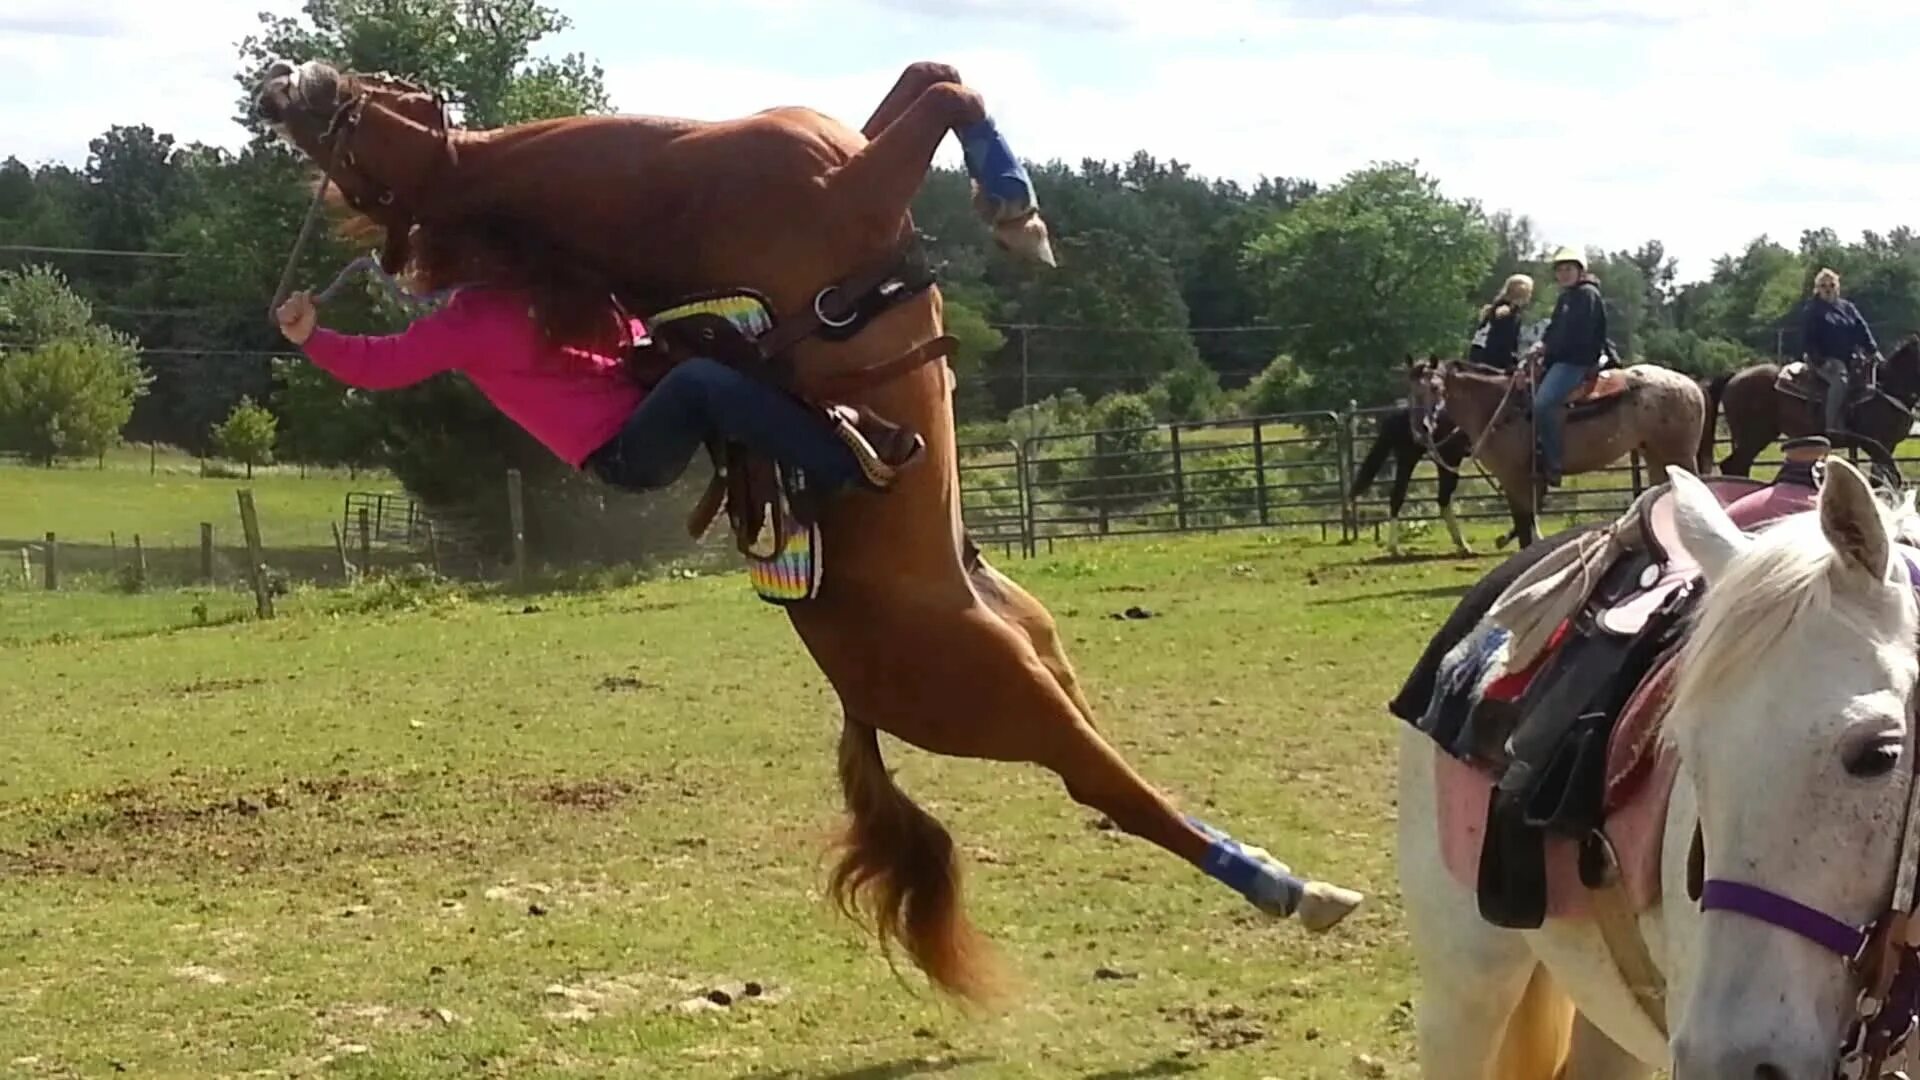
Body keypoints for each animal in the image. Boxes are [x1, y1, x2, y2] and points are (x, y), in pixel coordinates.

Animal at [255, 58, 1367, 999]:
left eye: (344, 152)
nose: (279, 87)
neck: (678, 178)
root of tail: (857, 695)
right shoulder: (864, 186)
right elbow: (944, 91)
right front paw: (1015, 211)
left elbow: (925, 76)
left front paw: (1013, 204)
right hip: (1008, 703)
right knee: (1113, 794)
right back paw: (1299, 892)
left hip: (1044, 660)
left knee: (1107, 773)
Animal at [1697, 332, 1920, 474]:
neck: (1887, 388)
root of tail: (1735, 377)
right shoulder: (1878, 444)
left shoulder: (1886, 446)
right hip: (1753, 436)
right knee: (1735, 466)